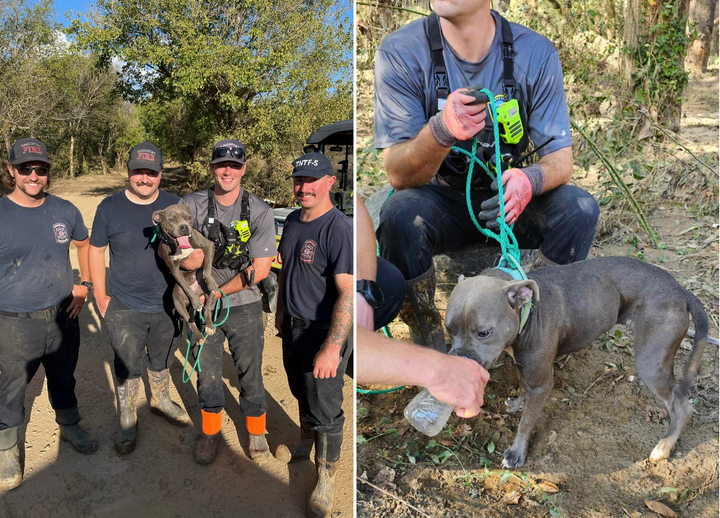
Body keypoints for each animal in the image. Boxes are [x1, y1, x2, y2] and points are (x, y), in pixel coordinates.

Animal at [152, 206, 219, 346]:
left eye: (188, 217)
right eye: (171, 220)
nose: (184, 227)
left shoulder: (208, 245)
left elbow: (207, 268)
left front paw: (209, 280)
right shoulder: (174, 268)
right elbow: (186, 286)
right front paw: (196, 301)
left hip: (209, 292)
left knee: (207, 308)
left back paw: (209, 326)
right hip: (178, 302)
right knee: (190, 321)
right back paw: (199, 337)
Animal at [444, 256, 708, 472]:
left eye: (484, 333)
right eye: (448, 329)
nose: (459, 359)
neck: (527, 313)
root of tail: (680, 290)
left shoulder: (542, 383)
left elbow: (526, 422)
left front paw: (517, 452)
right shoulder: (526, 369)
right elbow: (523, 387)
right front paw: (518, 403)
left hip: (650, 360)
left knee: (682, 406)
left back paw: (664, 446)